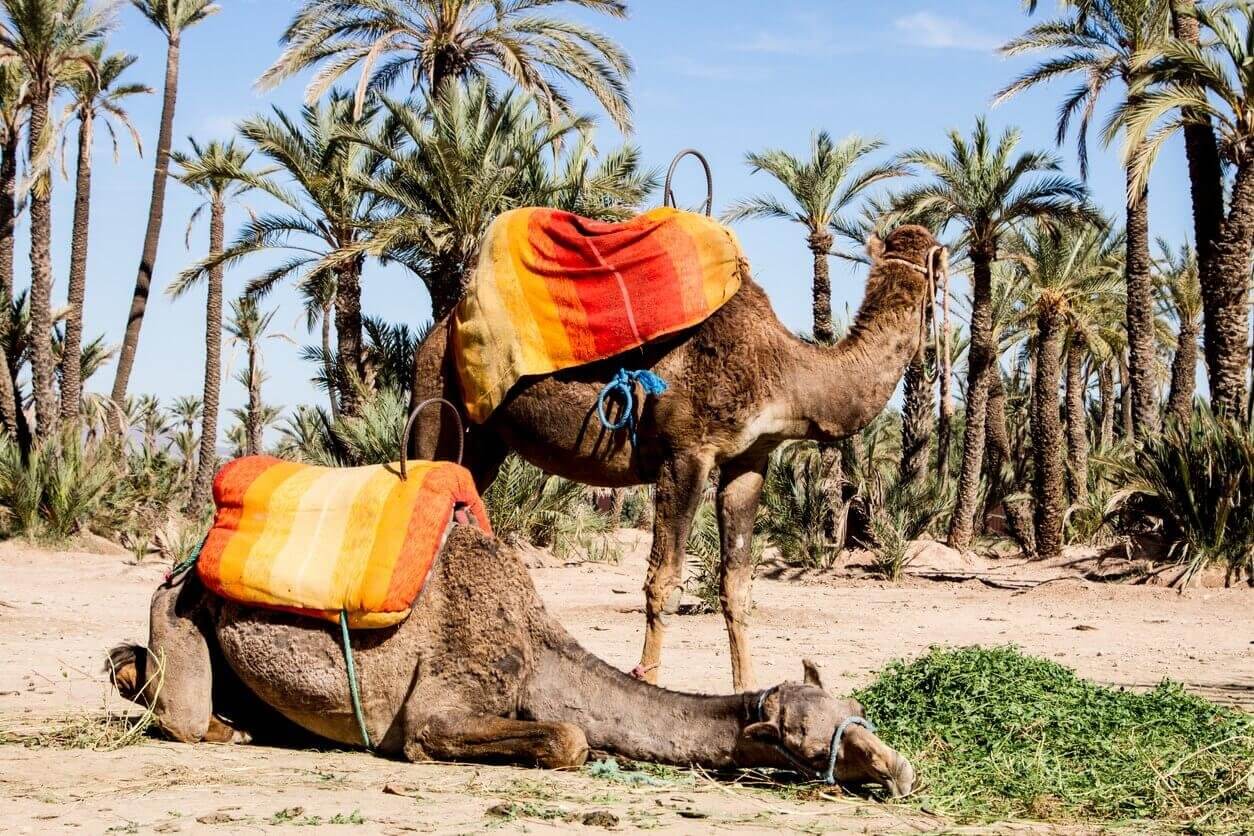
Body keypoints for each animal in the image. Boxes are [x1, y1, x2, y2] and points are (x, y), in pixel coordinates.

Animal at [108, 523, 915, 794]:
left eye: (856, 710)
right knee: (181, 713)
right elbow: (568, 737)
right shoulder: (442, 706)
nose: (901, 768)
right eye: (809, 744)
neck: (535, 648)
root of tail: (183, 560)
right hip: (181, 608)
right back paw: (222, 726)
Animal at [409, 224, 941, 691]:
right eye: (937, 265)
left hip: (485, 443)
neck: (786, 373)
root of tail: (438, 331)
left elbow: (737, 585)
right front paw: (648, 686)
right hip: (438, 402)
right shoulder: (685, 453)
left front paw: (749, 692)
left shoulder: (750, 460)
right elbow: (663, 582)